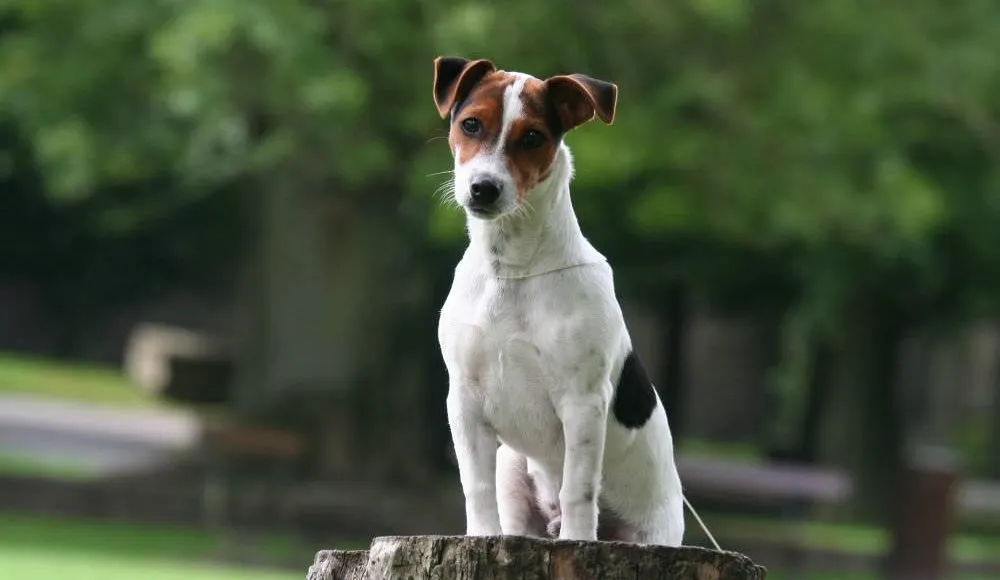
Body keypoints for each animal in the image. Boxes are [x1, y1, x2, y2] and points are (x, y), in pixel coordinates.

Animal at [434, 56, 684, 548]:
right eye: (471, 124)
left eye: (533, 137)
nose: (484, 188)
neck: (512, 270)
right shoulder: (463, 401)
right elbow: (475, 485)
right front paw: (480, 534)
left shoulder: (582, 402)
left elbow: (578, 489)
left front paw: (578, 538)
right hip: (512, 469)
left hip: (651, 531)